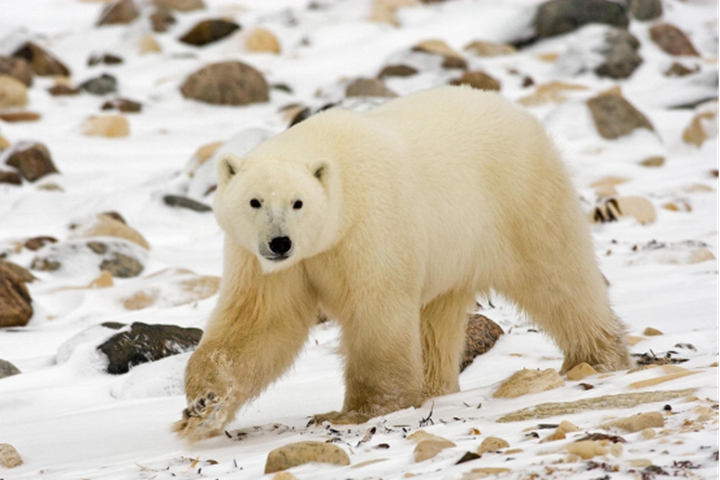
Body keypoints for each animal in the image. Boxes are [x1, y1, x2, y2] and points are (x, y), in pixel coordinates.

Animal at [173, 86, 632, 442]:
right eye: (255, 201)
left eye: (298, 202)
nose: (279, 242)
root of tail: (519, 114)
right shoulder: (264, 262)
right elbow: (260, 324)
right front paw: (203, 406)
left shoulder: (369, 228)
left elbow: (376, 313)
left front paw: (357, 412)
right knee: (437, 318)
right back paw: (435, 386)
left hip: (519, 197)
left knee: (558, 276)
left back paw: (595, 357)